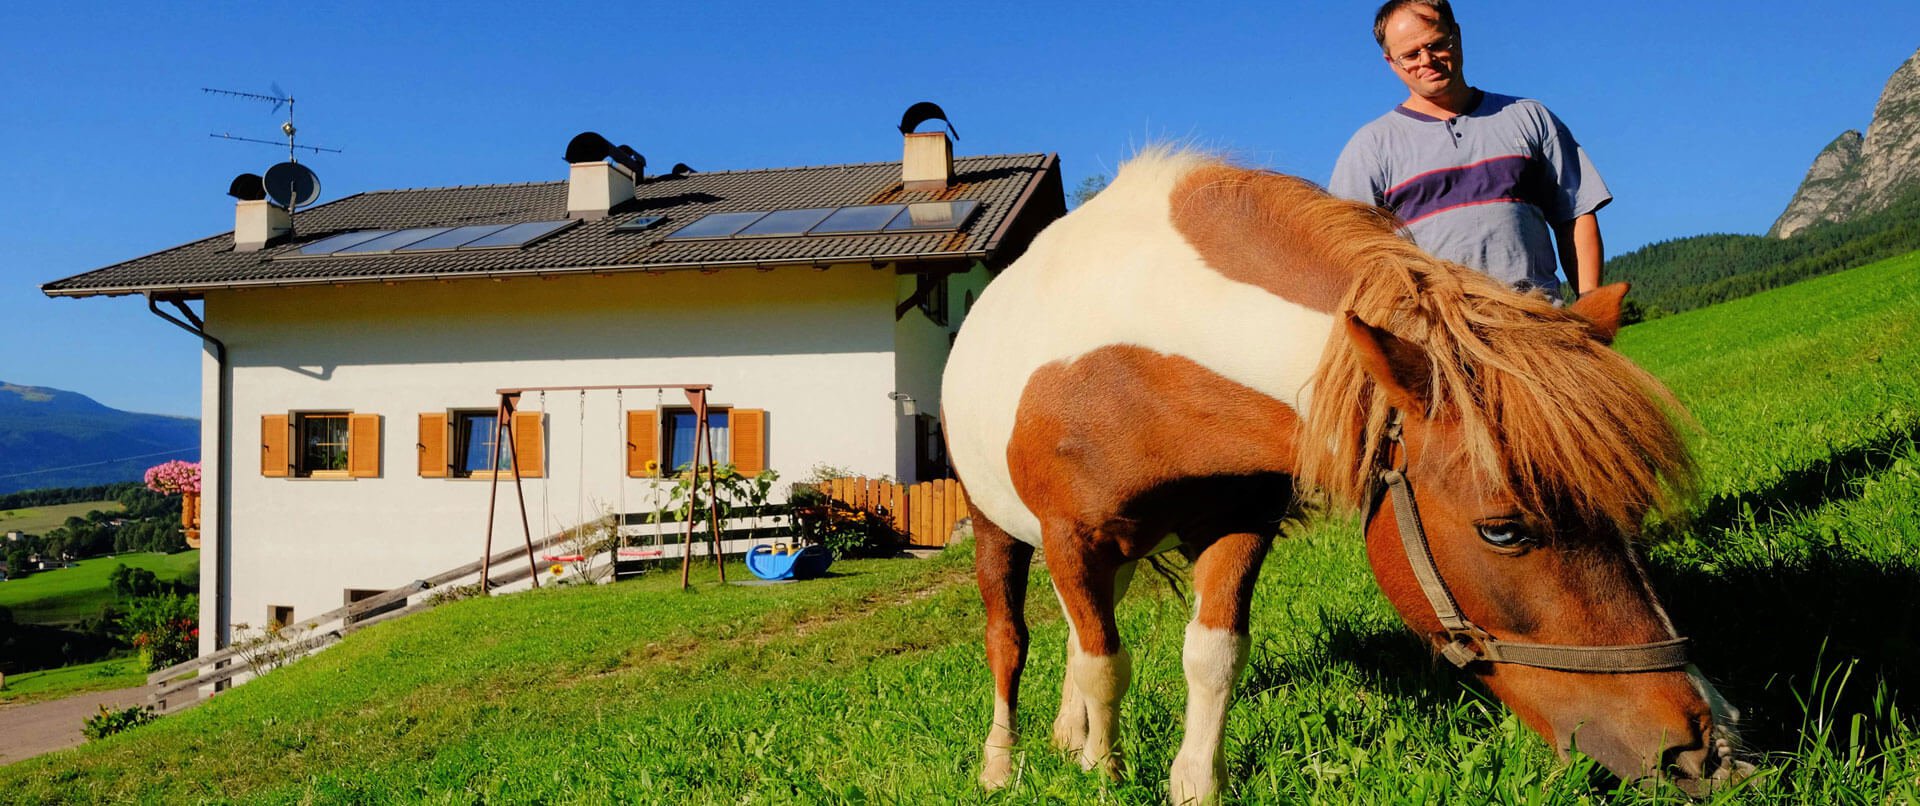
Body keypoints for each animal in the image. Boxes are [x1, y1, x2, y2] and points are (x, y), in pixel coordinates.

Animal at [936, 149, 1751, 798]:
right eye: (1503, 530)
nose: (1706, 750)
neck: (1132, 354)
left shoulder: (1233, 524)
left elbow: (1210, 657)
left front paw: (1190, 783)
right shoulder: (1072, 538)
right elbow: (1105, 662)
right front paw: (1102, 773)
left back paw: (1065, 734)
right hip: (997, 530)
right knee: (1011, 640)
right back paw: (1002, 764)